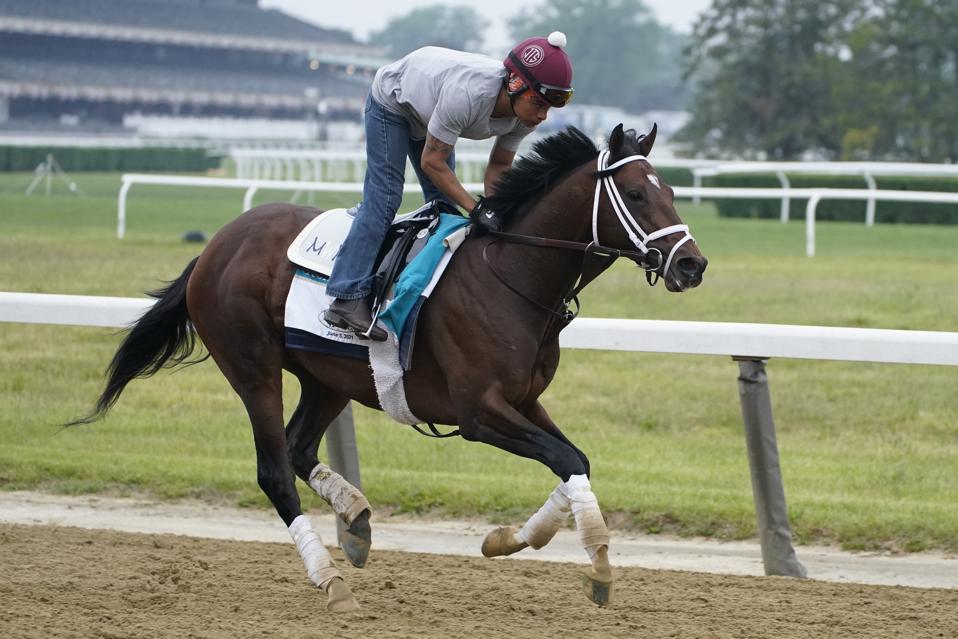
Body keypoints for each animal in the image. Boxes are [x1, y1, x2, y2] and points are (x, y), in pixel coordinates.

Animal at [75, 124, 707, 612]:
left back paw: (355, 521)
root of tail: (216, 246)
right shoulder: (479, 412)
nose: (692, 265)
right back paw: (331, 581)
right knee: (275, 471)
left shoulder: (523, 400)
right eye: (636, 194)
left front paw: (507, 539)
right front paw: (598, 567)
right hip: (252, 367)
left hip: (328, 377)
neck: (511, 274)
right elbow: (568, 459)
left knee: (299, 447)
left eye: (673, 190)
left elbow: (575, 462)